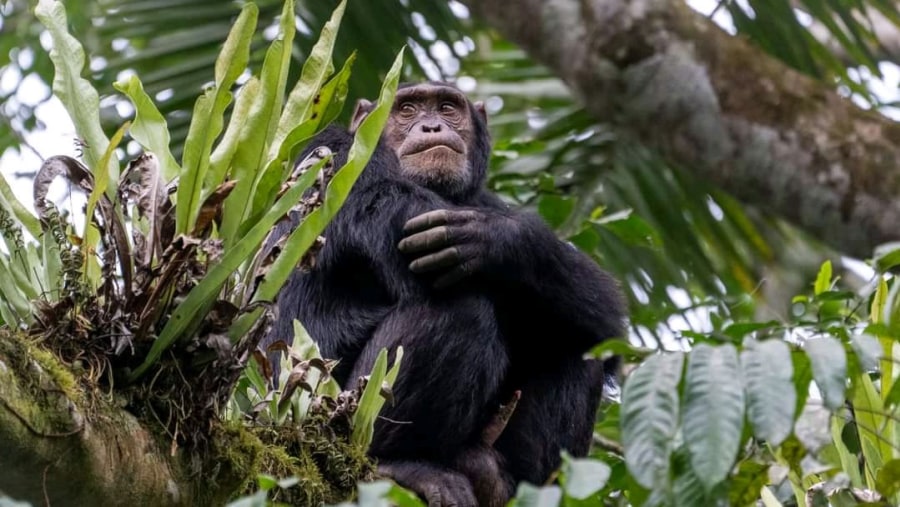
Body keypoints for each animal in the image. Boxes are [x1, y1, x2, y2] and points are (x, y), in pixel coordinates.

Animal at [264, 82, 624, 504]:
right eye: (407, 109)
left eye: (448, 107)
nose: (432, 125)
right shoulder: (341, 156)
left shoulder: (485, 201)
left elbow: (604, 315)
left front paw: (501, 239)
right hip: (330, 414)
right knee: (461, 306)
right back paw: (401, 465)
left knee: (574, 344)